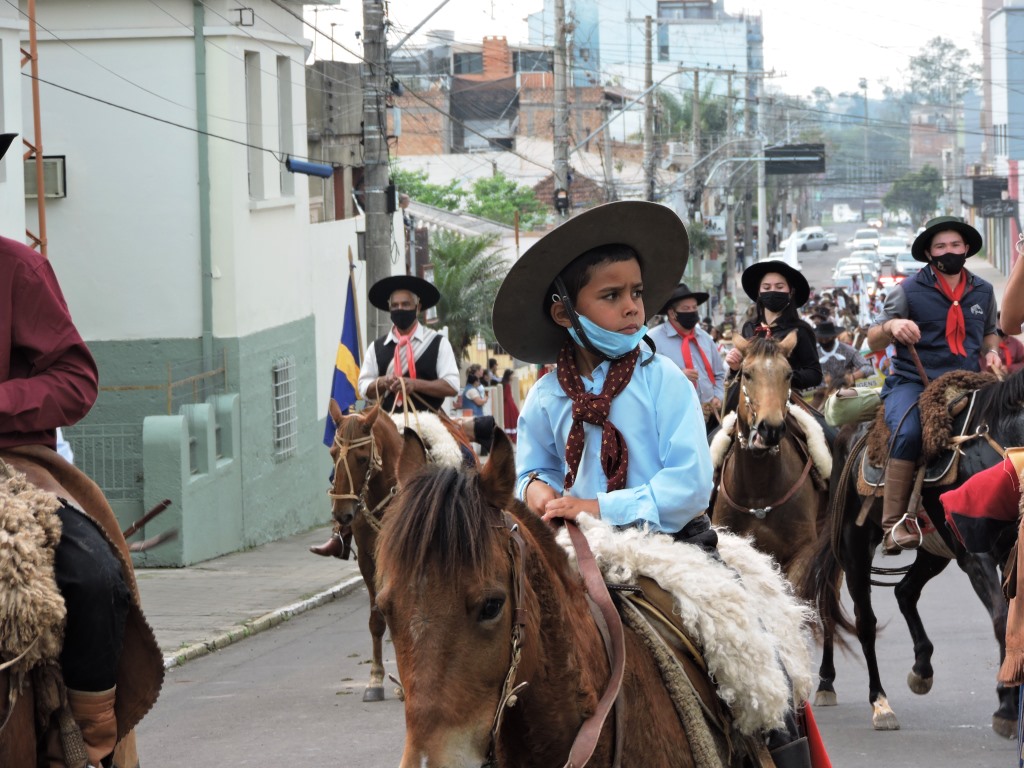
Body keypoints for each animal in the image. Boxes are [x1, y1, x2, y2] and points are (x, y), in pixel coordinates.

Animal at [329, 403, 405, 704]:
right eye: (332, 453)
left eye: (362, 458)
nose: (342, 514)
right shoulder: (367, 561)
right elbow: (377, 619)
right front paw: (375, 679)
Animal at [798, 370, 1024, 737]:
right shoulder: (976, 556)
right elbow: (1002, 619)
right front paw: (1006, 706)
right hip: (854, 549)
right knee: (863, 621)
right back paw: (877, 702)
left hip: (934, 552)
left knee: (904, 592)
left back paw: (921, 668)